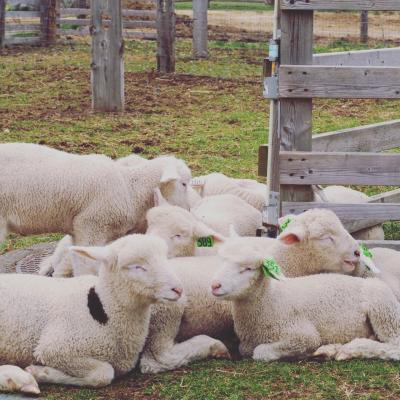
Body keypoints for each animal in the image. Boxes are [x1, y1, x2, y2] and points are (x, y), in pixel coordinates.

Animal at [0, 144, 192, 278]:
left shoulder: (79, 232)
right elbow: (86, 266)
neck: (130, 187)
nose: (189, 211)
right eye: (183, 183)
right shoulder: (92, 227)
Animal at [0, 234, 182, 388]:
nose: (178, 289)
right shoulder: (56, 348)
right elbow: (103, 374)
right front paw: (40, 372)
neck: (105, 312)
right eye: (137, 267)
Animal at [212, 238, 400, 362]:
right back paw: (330, 349)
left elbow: (260, 353)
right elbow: (244, 349)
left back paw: (352, 348)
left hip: (384, 311)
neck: (270, 300)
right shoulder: (247, 343)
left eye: (248, 269)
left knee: (394, 345)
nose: (214, 285)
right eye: (222, 262)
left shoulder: (302, 335)